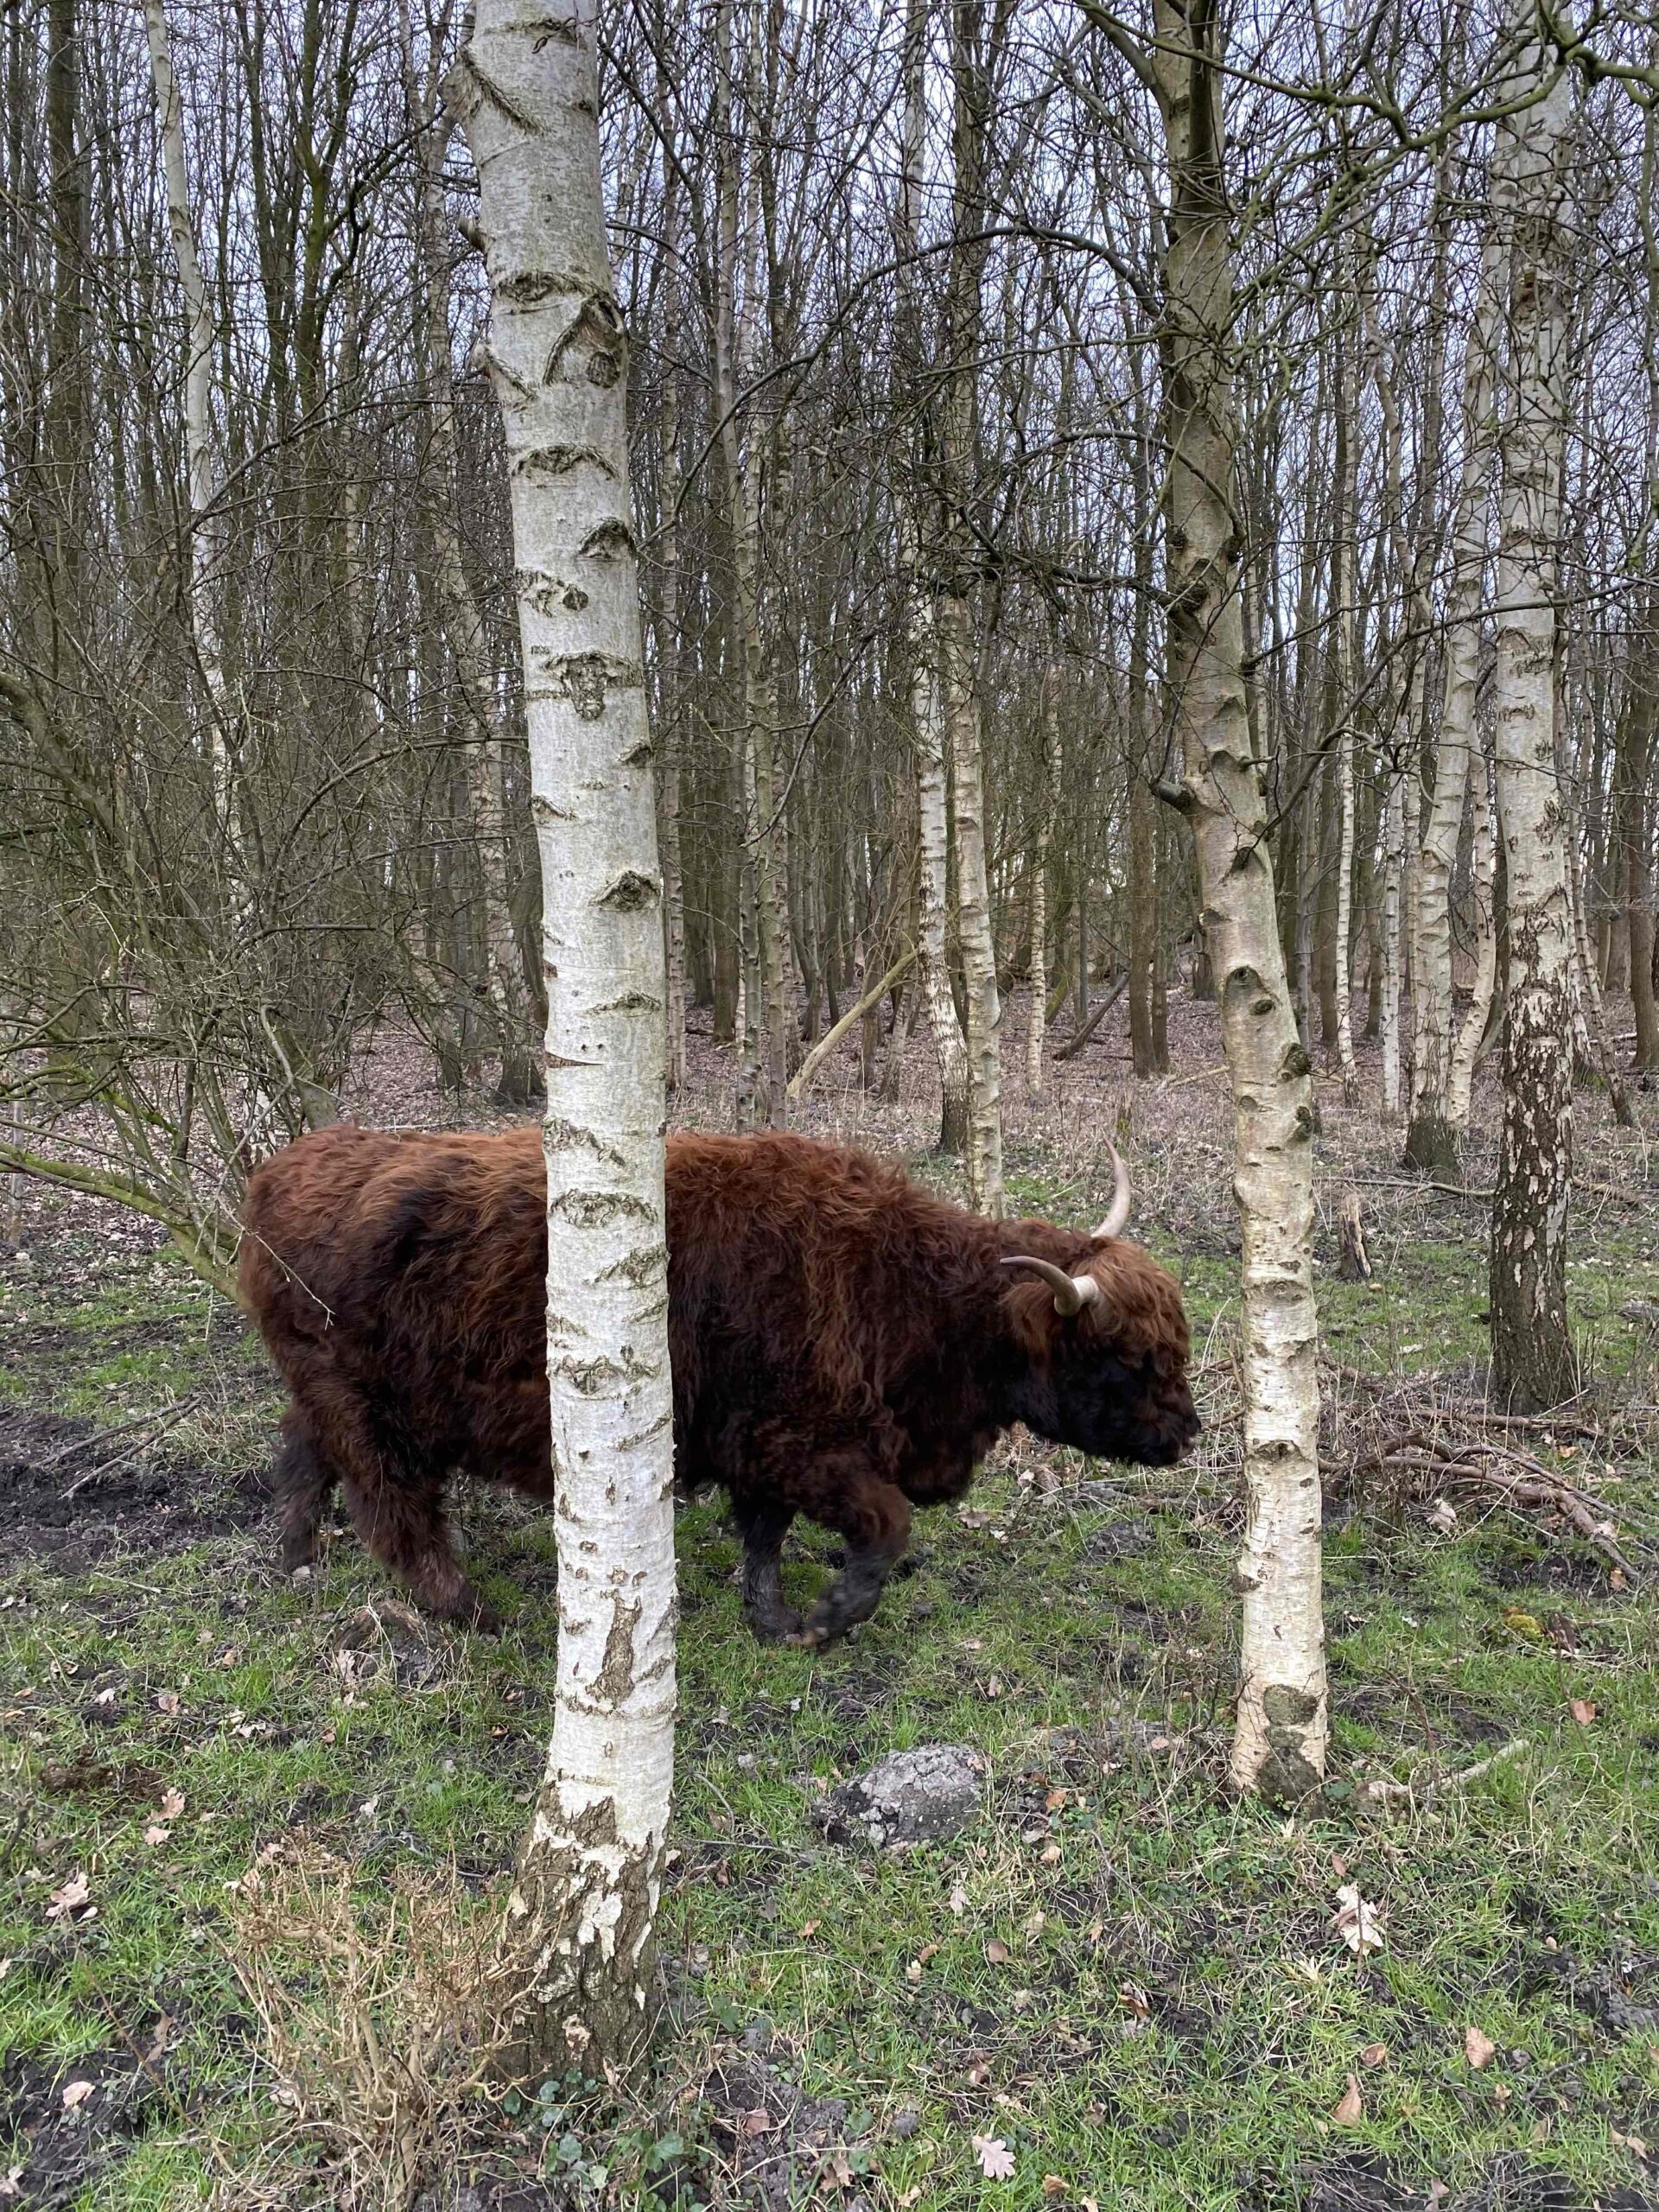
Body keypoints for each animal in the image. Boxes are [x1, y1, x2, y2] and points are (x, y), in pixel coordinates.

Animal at [238, 1125, 1198, 1644]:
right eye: (1125, 1359)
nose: (1186, 1434)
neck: (912, 1289)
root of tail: (274, 1177)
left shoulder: (764, 1456)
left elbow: (766, 1540)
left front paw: (770, 1618)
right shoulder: (802, 1448)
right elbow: (882, 1527)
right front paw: (828, 1618)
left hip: (323, 1394)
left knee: (302, 1461)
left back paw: (296, 1560)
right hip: (371, 1411)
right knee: (393, 1506)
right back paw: (467, 1606)